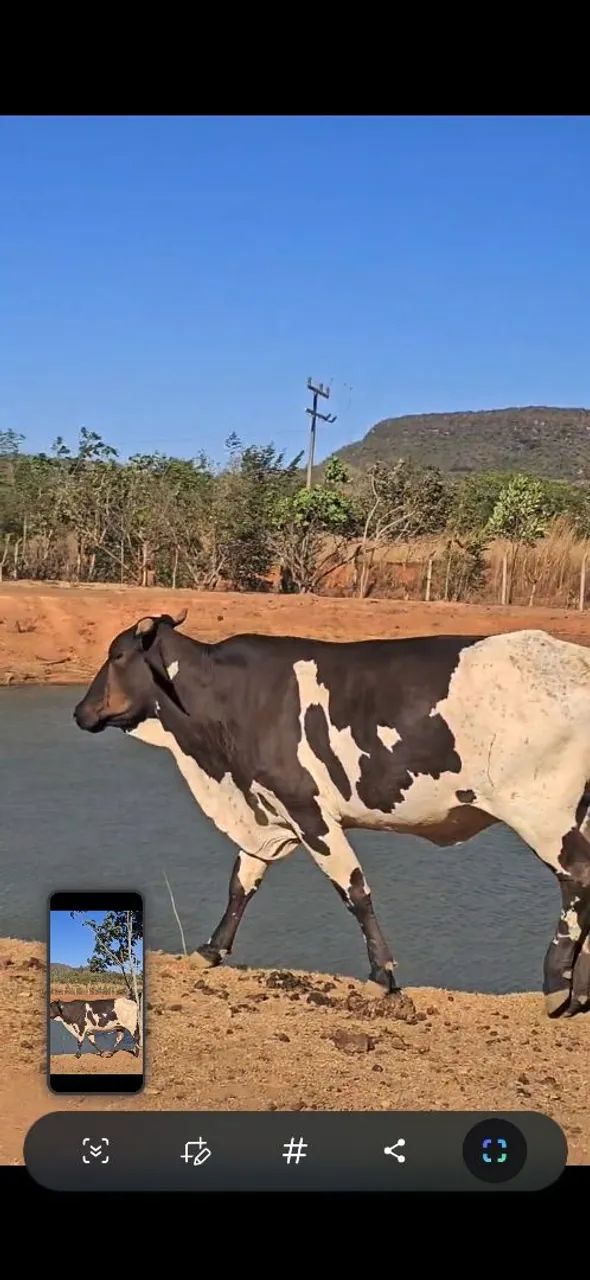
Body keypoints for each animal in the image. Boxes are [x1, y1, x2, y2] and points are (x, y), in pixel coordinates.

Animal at [73, 609, 590, 1020]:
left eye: (117, 655)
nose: (79, 711)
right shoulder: (267, 811)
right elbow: (242, 883)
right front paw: (210, 950)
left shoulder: (309, 810)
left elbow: (354, 890)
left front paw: (381, 976)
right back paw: (579, 991)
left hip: (543, 814)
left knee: (578, 880)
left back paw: (556, 986)